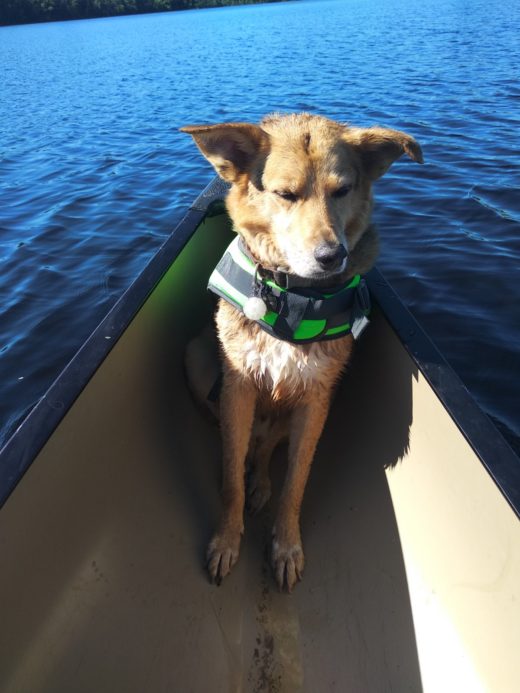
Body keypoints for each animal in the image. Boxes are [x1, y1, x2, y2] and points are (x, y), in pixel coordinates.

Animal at [181, 115, 420, 588]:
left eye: (342, 190)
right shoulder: (237, 387)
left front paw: (286, 546)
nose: (332, 255)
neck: (292, 296)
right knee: (242, 445)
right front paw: (226, 539)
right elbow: (231, 479)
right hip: (198, 357)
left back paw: (261, 482)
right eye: (285, 194)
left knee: (265, 448)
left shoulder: (315, 400)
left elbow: (296, 482)